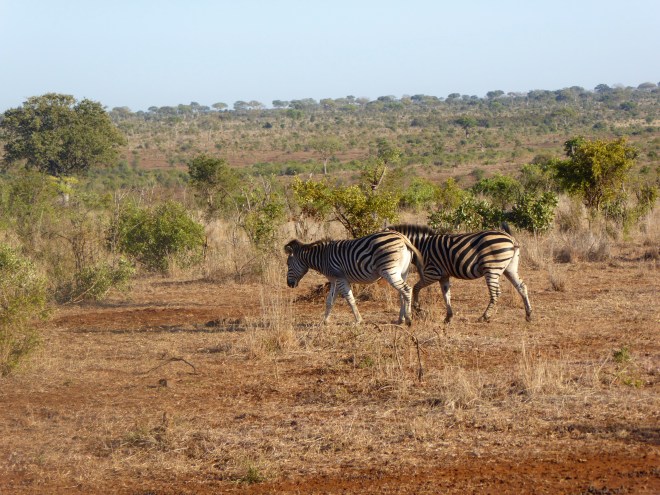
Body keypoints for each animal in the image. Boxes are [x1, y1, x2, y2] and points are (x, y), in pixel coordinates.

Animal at [284, 231, 425, 325]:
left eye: (288, 264)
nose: (289, 284)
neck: (323, 257)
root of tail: (403, 238)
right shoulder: (335, 280)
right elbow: (330, 301)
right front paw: (325, 321)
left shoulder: (340, 278)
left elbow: (350, 299)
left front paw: (358, 320)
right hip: (403, 271)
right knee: (402, 293)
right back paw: (401, 319)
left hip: (389, 270)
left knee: (406, 290)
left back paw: (409, 319)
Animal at [387, 224, 532, 323]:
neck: (422, 246)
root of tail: (511, 239)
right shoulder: (444, 276)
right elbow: (446, 295)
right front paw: (448, 317)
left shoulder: (433, 272)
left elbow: (416, 288)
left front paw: (417, 308)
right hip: (510, 268)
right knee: (522, 287)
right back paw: (529, 314)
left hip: (492, 269)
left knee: (496, 293)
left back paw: (484, 316)